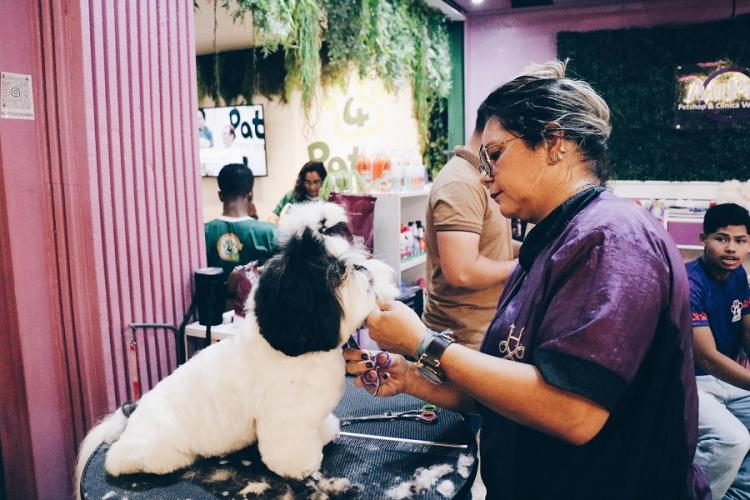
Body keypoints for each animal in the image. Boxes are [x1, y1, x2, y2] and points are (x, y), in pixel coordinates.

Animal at [75, 201, 400, 494]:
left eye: (351, 257)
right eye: (335, 272)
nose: (360, 267)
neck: (300, 353)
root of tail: (130, 417)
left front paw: (325, 434)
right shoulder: (285, 419)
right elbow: (289, 449)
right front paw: (301, 466)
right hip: (152, 450)